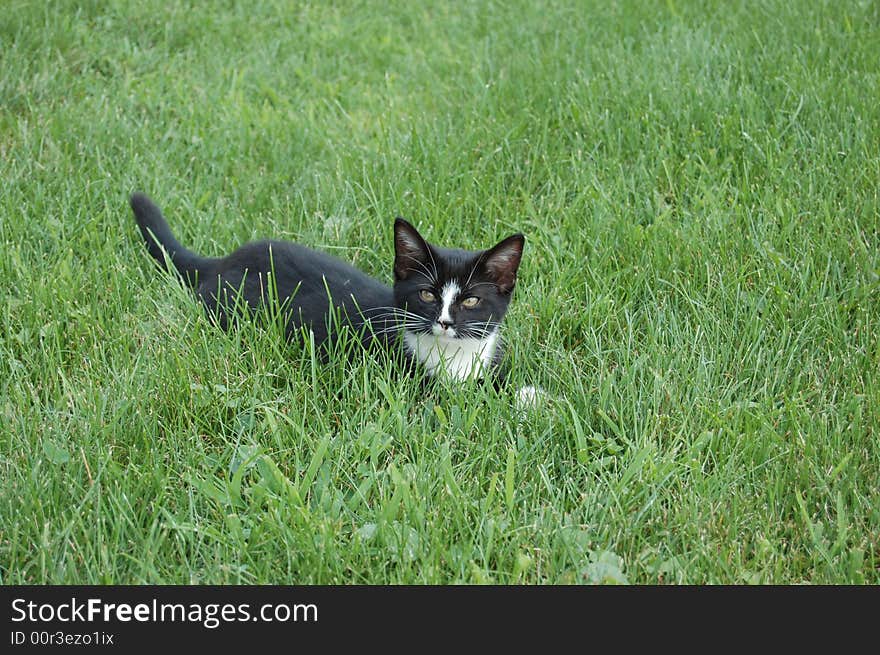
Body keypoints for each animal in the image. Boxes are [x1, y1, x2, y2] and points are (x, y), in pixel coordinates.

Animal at [131, 192, 524, 384]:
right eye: (427, 294)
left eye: (471, 300)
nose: (444, 322)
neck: (453, 355)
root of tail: (223, 261)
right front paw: (526, 398)